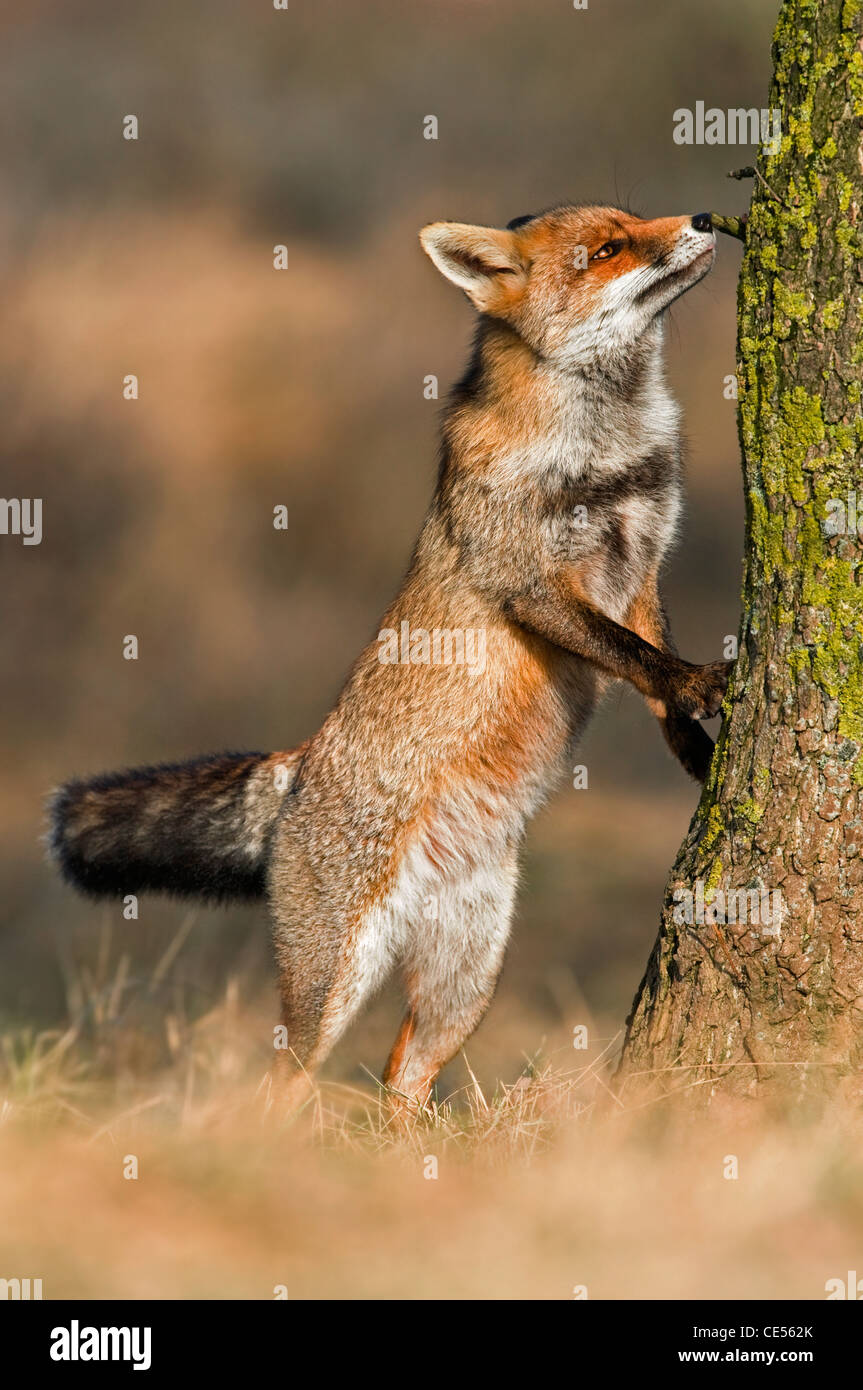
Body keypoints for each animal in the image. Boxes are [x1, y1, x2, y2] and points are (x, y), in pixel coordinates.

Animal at [52, 202, 728, 1106]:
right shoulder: (530, 582)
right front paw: (704, 685)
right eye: (609, 248)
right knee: (284, 1083)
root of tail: (298, 764)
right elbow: (633, 659)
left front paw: (697, 753)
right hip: (335, 980)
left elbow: (649, 673)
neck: (607, 454)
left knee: (399, 1081)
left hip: (466, 977)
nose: (702, 216)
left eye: (631, 220)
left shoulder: (641, 569)